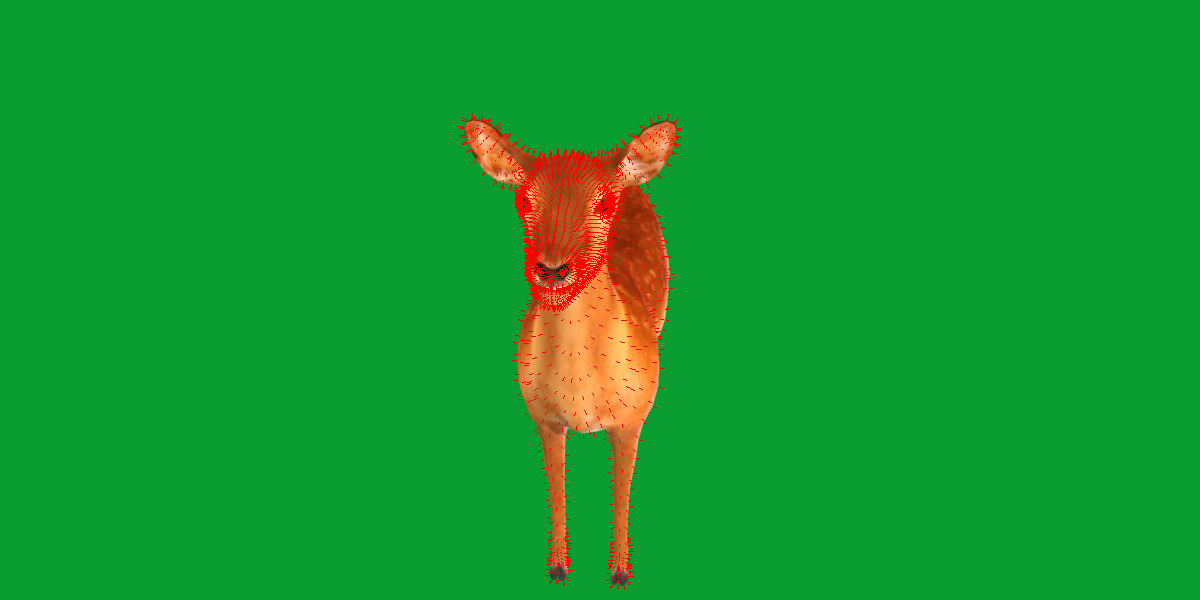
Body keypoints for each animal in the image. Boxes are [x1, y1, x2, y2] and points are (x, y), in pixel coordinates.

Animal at [459, 115, 679, 587]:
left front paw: (619, 572)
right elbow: (556, 488)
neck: (581, 393)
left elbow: (622, 491)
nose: (552, 269)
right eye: (524, 198)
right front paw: (558, 567)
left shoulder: (633, 417)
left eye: (604, 203)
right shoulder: (542, 415)